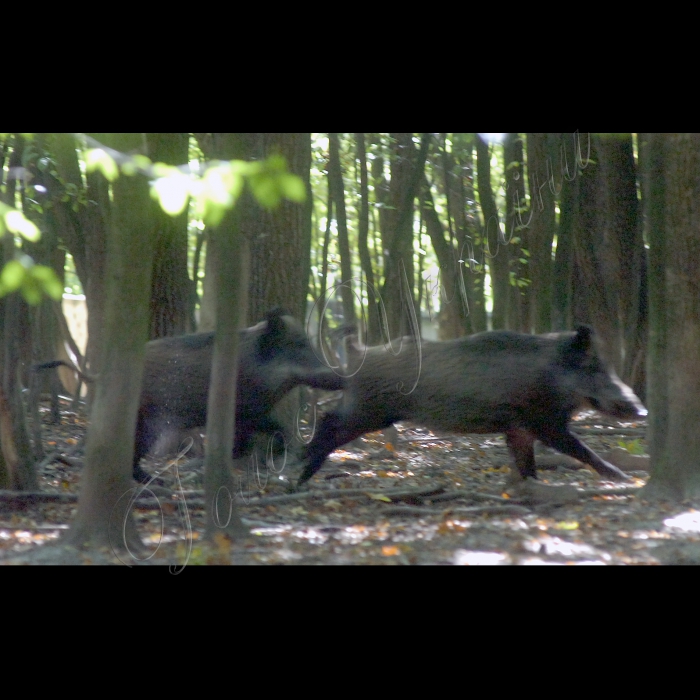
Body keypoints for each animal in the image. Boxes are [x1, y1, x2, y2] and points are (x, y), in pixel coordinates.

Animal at [133, 308, 344, 483]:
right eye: (300, 345)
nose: (342, 378)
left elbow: (263, 434)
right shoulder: (245, 411)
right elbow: (268, 432)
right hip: (149, 422)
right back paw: (156, 481)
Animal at [296, 324, 647, 488]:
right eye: (594, 367)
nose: (642, 411)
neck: (552, 375)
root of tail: (356, 352)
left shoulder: (518, 427)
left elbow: (526, 462)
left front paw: (530, 487)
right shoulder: (543, 421)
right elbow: (580, 449)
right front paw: (622, 478)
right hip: (369, 410)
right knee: (328, 421)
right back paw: (301, 471)